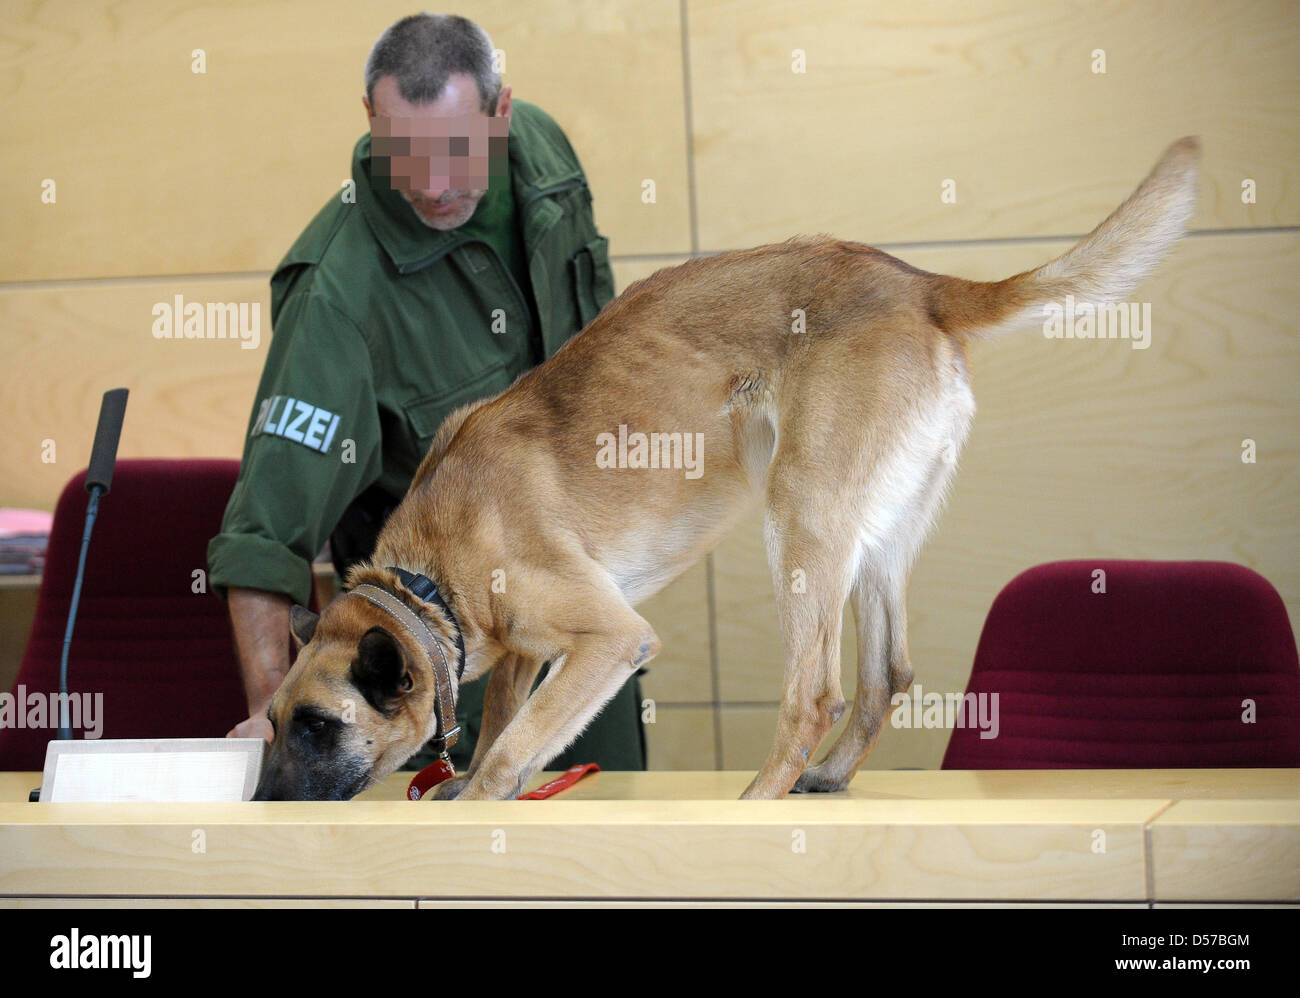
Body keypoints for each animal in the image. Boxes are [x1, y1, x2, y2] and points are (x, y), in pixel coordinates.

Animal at [253, 138, 1196, 800]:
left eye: (316, 729)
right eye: (273, 723)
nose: (265, 805)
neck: (429, 578)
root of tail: (918, 284)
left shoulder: (609, 636)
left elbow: (509, 748)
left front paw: (477, 799)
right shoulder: (527, 655)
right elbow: (504, 727)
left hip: (802, 517)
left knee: (814, 692)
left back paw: (758, 802)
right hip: (874, 534)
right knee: (884, 675)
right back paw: (827, 778)